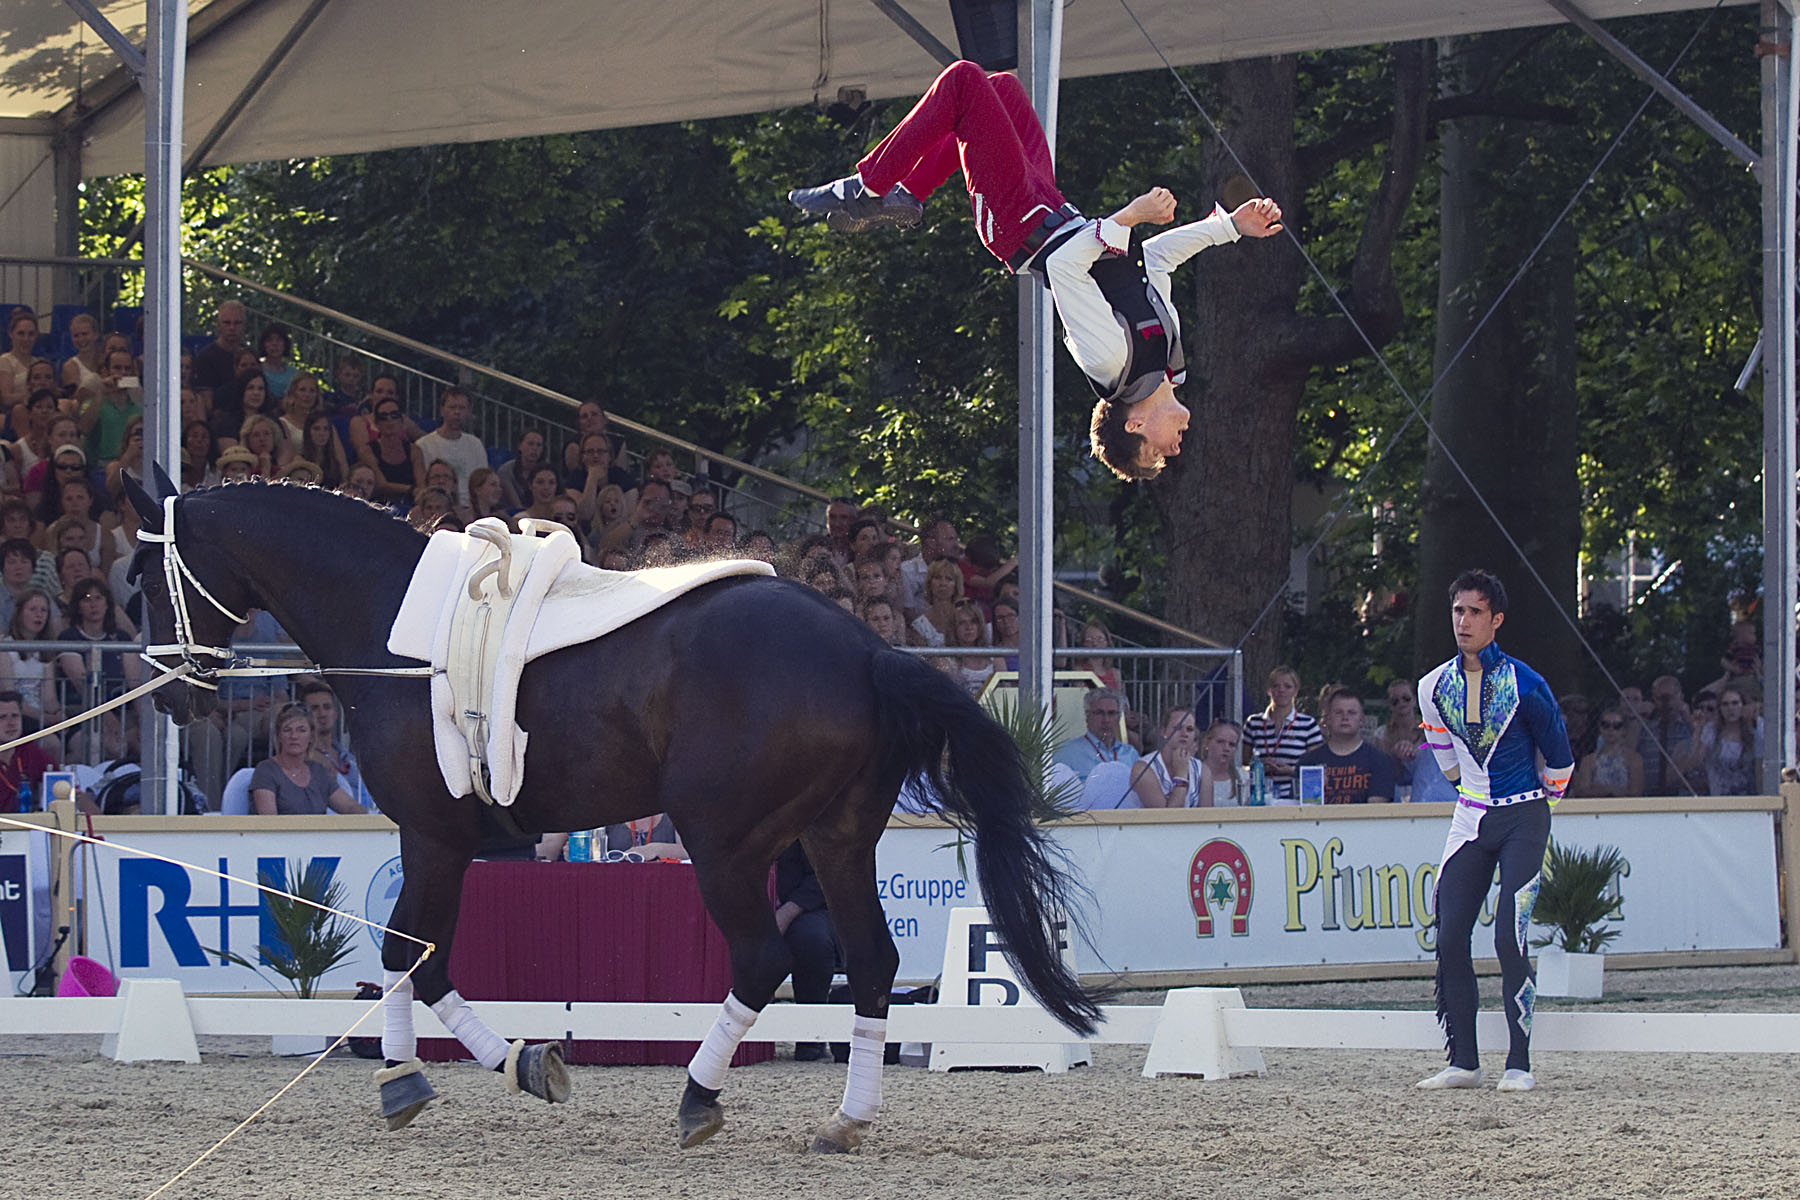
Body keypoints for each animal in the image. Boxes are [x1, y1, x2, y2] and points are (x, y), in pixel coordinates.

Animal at [123, 478, 1094, 1151]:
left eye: (146, 577)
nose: (170, 695)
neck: (395, 629)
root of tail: (866, 649)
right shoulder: (452, 842)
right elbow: (422, 958)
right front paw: (503, 1064)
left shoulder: (432, 835)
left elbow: (410, 955)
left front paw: (428, 1078)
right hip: (838, 838)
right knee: (872, 961)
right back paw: (846, 1120)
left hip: (724, 843)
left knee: (764, 959)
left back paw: (698, 1099)